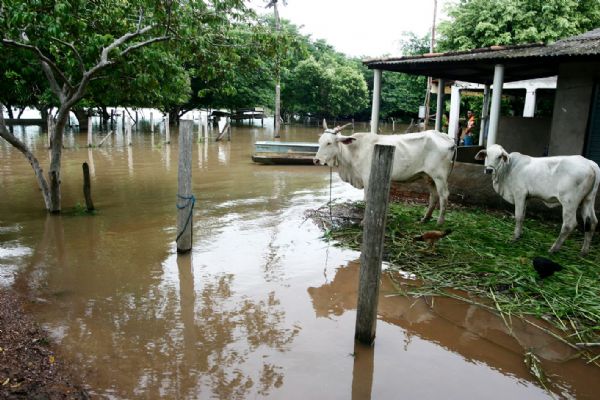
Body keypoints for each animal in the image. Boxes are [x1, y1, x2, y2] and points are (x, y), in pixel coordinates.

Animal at [314, 121, 454, 225]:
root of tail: (447, 138)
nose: (316, 160)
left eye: (329, 143)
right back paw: (425, 219)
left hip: (439, 176)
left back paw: (440, 222)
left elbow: (367, 199)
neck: (353, 151)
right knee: (434, 196)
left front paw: (364, 222)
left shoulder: (367, 178)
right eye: (319, 141)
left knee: (444, 196)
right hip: (428, 176)